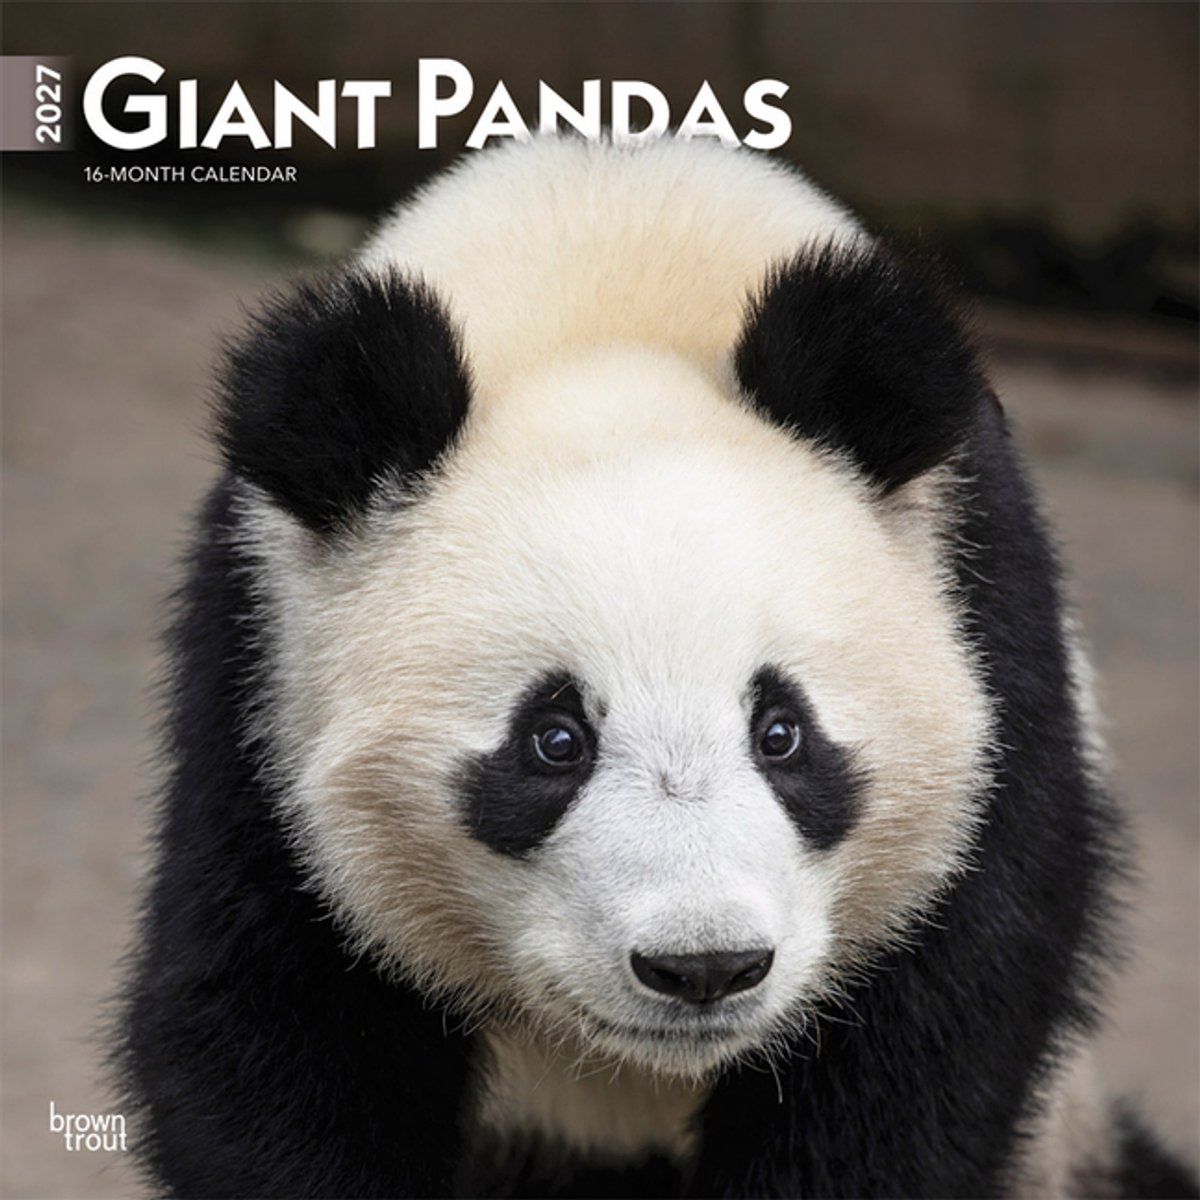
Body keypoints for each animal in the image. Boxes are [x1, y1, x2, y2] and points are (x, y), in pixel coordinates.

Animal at [117, 136, 1198, 1199]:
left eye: (782, 732)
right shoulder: (261, 674)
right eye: (553, 741)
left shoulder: (988, 625)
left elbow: (928, 1040)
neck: (612, 271)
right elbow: (265, 1025)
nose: (705, 967)